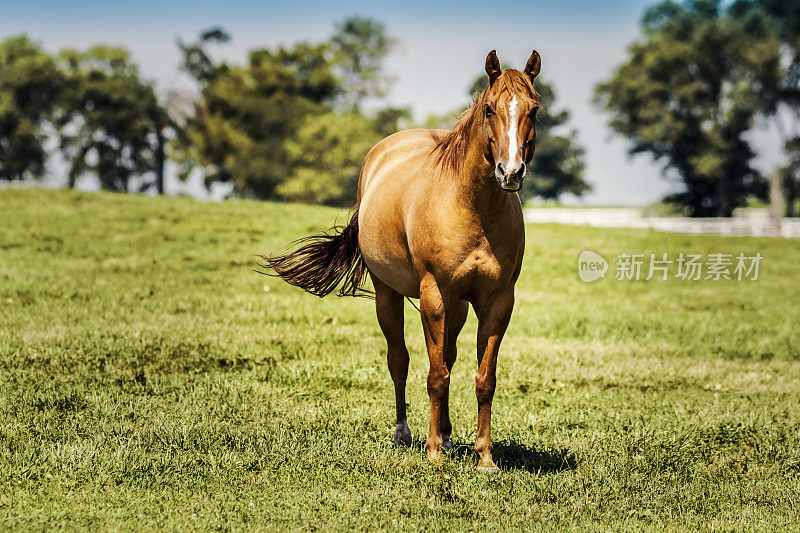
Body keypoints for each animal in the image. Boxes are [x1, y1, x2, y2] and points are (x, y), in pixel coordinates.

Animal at [264, 50, 544, 472]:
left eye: (534, 110)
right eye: (490, 108)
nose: (510, 172)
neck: (475, 207)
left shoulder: (497, 301)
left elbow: (483, 379)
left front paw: (484, 456)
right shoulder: (433, 296)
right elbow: (435, 376)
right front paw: (433, 452)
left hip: (458, 307)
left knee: (449, 356)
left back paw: (447, 434)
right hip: (389, 294)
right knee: (400, 360)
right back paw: (405, 433)